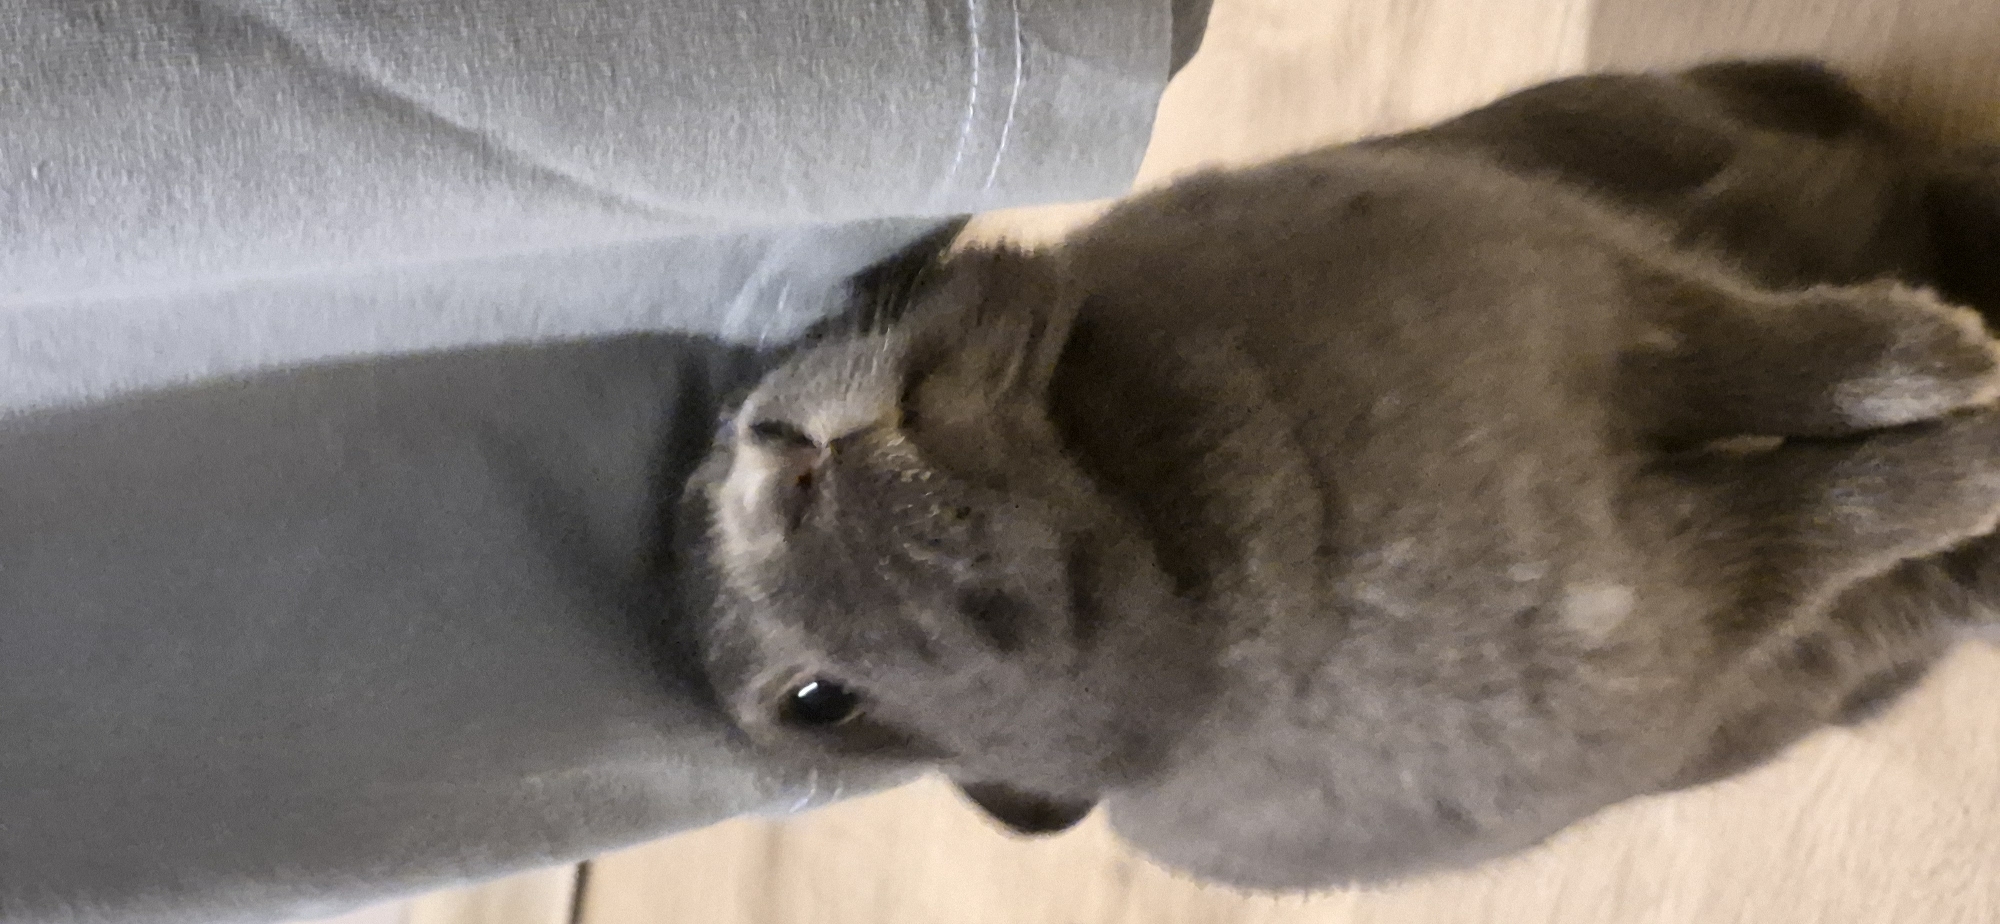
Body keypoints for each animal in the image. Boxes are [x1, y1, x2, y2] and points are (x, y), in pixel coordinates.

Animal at [682, 60, 2000, 891]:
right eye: (815, 703)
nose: (780, 463)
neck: (1153, 503)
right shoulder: (1697, 574)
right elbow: (1859, 500)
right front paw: (1981, 441)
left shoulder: (1611, 301)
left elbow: (1786, 359)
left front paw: (1940, 354)